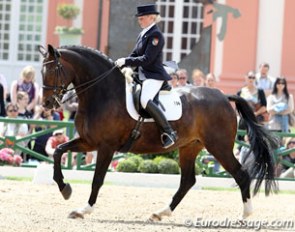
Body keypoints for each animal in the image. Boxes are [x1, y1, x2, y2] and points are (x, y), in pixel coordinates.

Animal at [38, 44, 278, 221]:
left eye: (52, 70)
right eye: (41, 71)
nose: (48, 104)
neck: (103, 93)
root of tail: (223, 96)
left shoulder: (106, 146)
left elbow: (97, 179)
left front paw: (83, 210)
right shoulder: (89, 142)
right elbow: (58, 151)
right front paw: (65, 188)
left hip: (219, 146)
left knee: (241, 175)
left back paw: (246, 215)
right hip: (190, 146)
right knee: (187, 181)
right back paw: (161, 213)